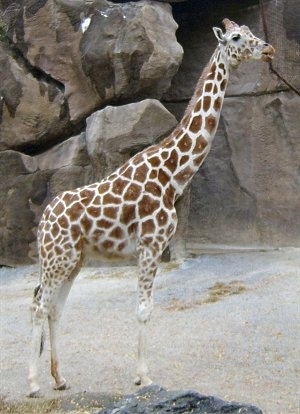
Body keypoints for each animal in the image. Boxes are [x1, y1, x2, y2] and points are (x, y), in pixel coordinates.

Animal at [27, 20, 274, 398]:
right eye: (236, 38)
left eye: (250, 31)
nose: (268, 49)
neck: (173, 173)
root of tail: (44, 221)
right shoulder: (150, 245)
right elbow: (144, 309)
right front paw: (144, 377)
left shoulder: (152, 247)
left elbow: (145, 308)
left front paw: (140, 374)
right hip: (58, 259)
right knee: (39, 303)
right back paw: (34, 384)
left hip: (72, 260)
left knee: (53, 307)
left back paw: (60, 379)